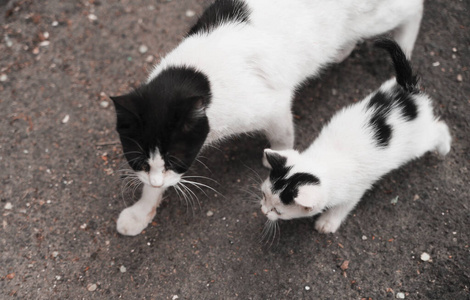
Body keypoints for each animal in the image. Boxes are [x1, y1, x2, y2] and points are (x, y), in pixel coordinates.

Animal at [112, 0, 424, 236]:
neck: (196, 76)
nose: (156, 182)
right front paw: (141, 210)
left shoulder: (274, 105)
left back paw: (405, 47)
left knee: (413, 8)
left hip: (376, 17)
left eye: (175, 158)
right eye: (138, 161)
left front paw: (280, 161)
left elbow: (283, 136)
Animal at [260, 38, 452, 233]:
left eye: (277, 211)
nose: (263, 211)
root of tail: (408, 91)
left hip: (418, 142)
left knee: (439, 129)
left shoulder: (354, 191)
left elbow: (342, 207)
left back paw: (444, 148)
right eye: (264, 195)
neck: (322, 163)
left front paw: (327, 222)